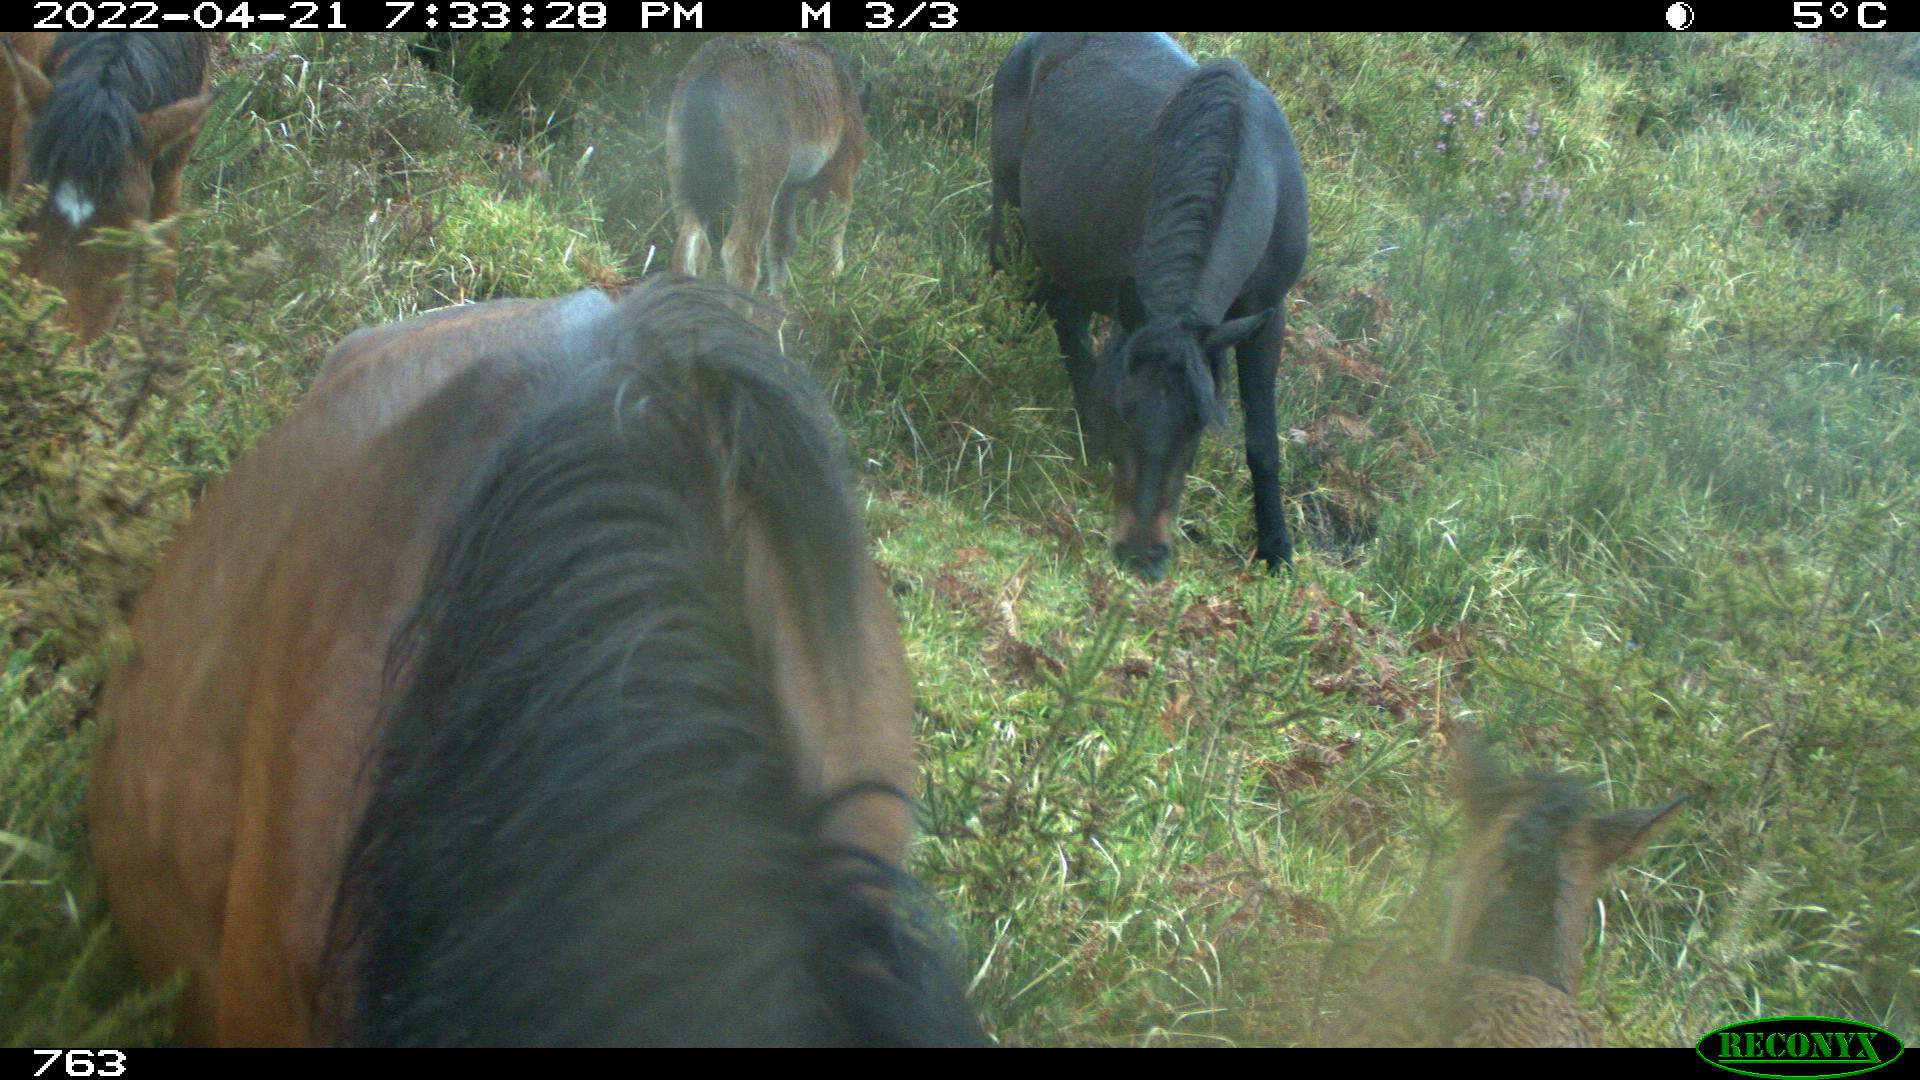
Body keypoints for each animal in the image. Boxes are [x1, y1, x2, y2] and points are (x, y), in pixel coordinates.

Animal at [668, 36, 865, 298]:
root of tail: (713, 70)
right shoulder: (838, 174)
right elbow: (829, 239)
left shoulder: (786, 190)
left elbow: (782, 245)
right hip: (759, 176)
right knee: (739, 252)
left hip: (682, 173)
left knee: (691, 242)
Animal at [989, 33, 1308, 581]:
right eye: (1122, 411)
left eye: (1199, 425)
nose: (1141, 555)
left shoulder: (1264, 316)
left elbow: (1263, 442)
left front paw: (1276, 551)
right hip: (1009, 206)